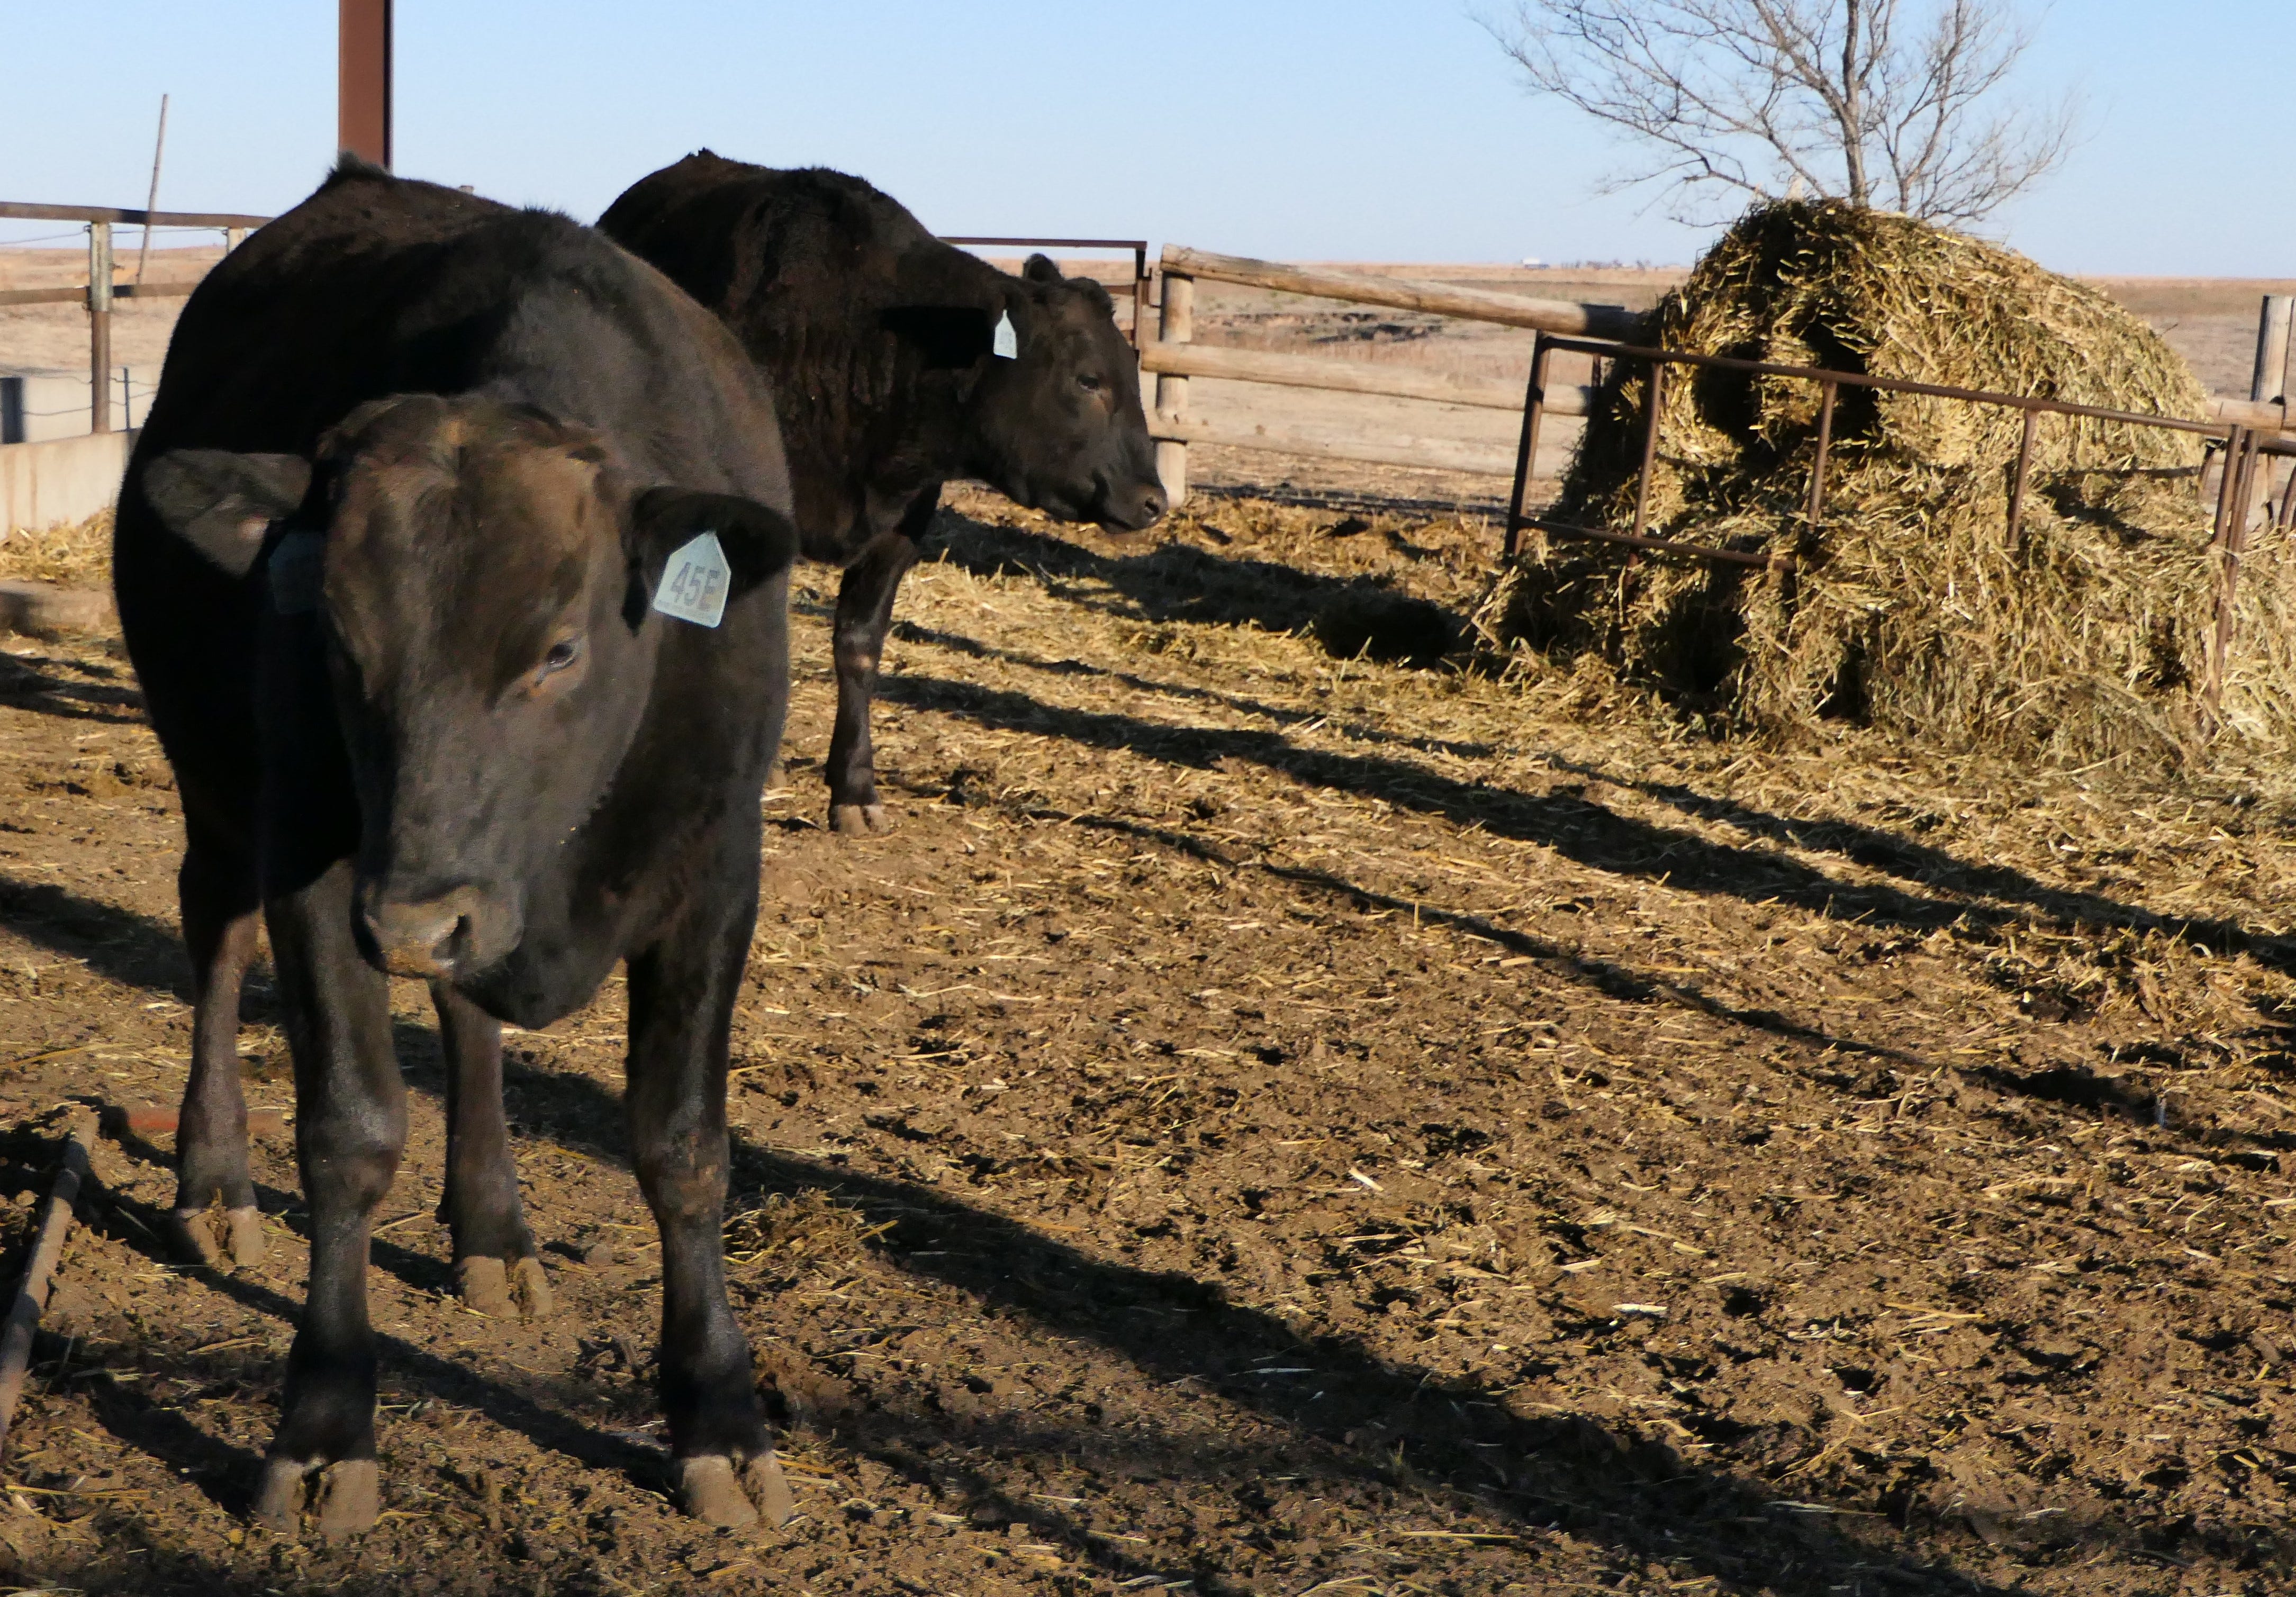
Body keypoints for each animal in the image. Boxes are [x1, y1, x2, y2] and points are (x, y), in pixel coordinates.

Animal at [118, 157, 802, 1536]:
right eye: (334, 635)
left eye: (557, 648)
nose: (413, 922)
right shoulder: (318, 865)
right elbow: (349, 1132)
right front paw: (324, 1425)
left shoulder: (717, 873)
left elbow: (683, 1145)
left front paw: (720, 1411)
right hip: (219, 789)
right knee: (214, 937)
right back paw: (213, 1182)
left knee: (469, 1019)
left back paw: (492, 1225)